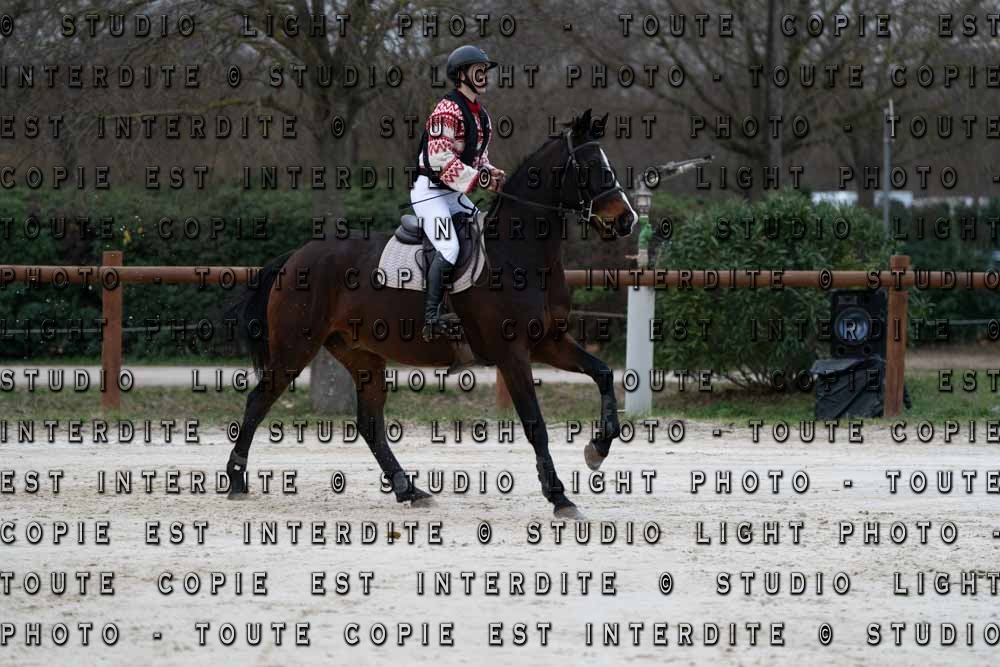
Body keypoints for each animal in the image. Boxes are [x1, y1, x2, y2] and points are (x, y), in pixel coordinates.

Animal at [222, 108, 637, 518]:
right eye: (590, 167)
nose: (627, 220)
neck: (518, 255)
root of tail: (296, 256)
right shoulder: (513, 355)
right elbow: (536, 425)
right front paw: (559, 496)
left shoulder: (549, 342)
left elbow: (602, 373)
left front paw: (597, 449)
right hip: (295, 349)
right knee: (258, 400)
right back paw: (237, 479)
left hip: (362, 356)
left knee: (369, 424)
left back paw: (409, 489)